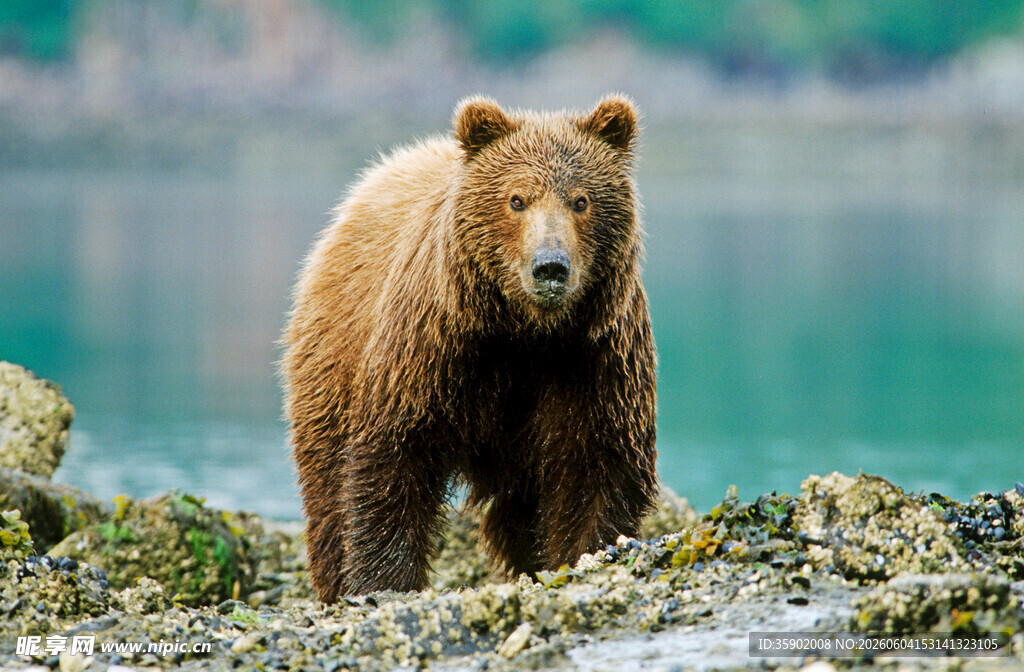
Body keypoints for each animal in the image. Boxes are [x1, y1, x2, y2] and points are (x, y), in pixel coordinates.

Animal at [283, 95, 658, 602]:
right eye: (516, 199)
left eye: (581, 200)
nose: (550, 267)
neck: (525, 332)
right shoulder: (433, 350)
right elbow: (393, 459)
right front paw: (384, 581)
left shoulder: (592, 360)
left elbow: (597, 466)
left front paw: (586, 555)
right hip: (333, 362)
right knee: (326, 483)